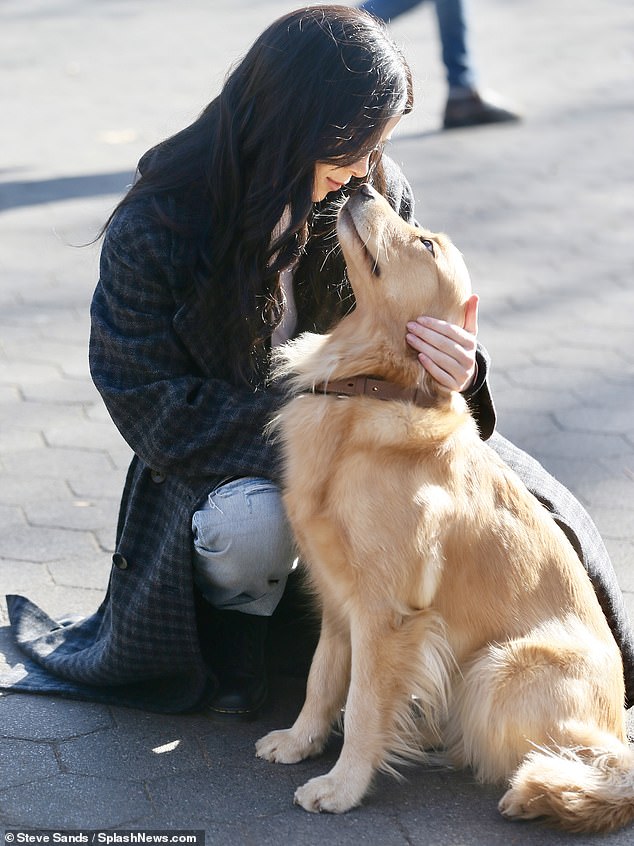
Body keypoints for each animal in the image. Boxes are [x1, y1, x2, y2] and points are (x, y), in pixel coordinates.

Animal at [253, 184, 632, 836]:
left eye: (426, 244)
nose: (359, 187)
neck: (374, 389)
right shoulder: (337, 598)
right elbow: (322, 677)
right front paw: (300, 741)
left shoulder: (386, 611)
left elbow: (362, 704)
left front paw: (341, 787)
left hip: (496, 672)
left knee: (596, 764)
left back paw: (536, 794)